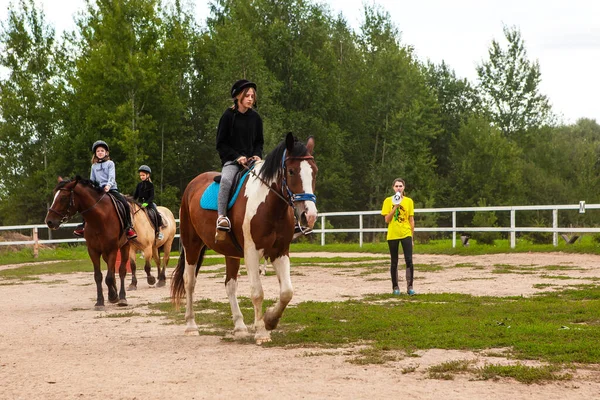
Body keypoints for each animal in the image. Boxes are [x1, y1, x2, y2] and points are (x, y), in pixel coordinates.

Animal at [45, 177, 132, 310]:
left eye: (63, 197)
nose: (49, 221)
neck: (99, 219)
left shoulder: (112, 249)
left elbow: (109, 277)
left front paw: (113, 296)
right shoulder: (93, 251)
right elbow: (99, 276)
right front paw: (100, 301)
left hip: (124, 246)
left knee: (121, 271)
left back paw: (122, 297)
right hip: (105, 253)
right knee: (111, 270)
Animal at [170, 132, 318, 344]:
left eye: (314, 172)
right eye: (291, 171)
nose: (309, 216)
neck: (269, 206)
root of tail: (192, 184)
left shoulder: (280, 251)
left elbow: (287, 292)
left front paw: (270, 320)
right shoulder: (252, 252)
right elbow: (257, 292)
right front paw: (261, 331)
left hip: (230, 253)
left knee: (230, 285)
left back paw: (239, 327)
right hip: (192, 245)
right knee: (189, 281)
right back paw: (191, 325)